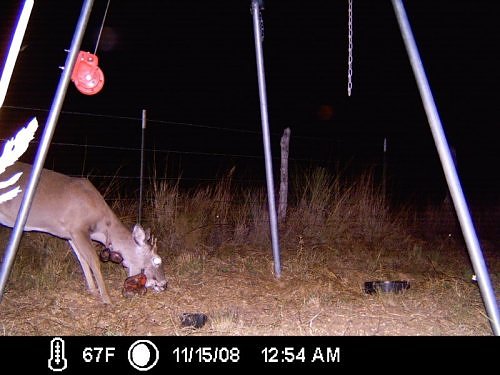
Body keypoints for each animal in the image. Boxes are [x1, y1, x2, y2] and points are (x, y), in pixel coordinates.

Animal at [0, 163, 168, 304]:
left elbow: (82, 259)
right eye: (157, 261)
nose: (165, 284)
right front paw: (107, 298)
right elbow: (93, 260)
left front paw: (93, 290)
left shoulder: (69, 233)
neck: (102, 227)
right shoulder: (78, 228)